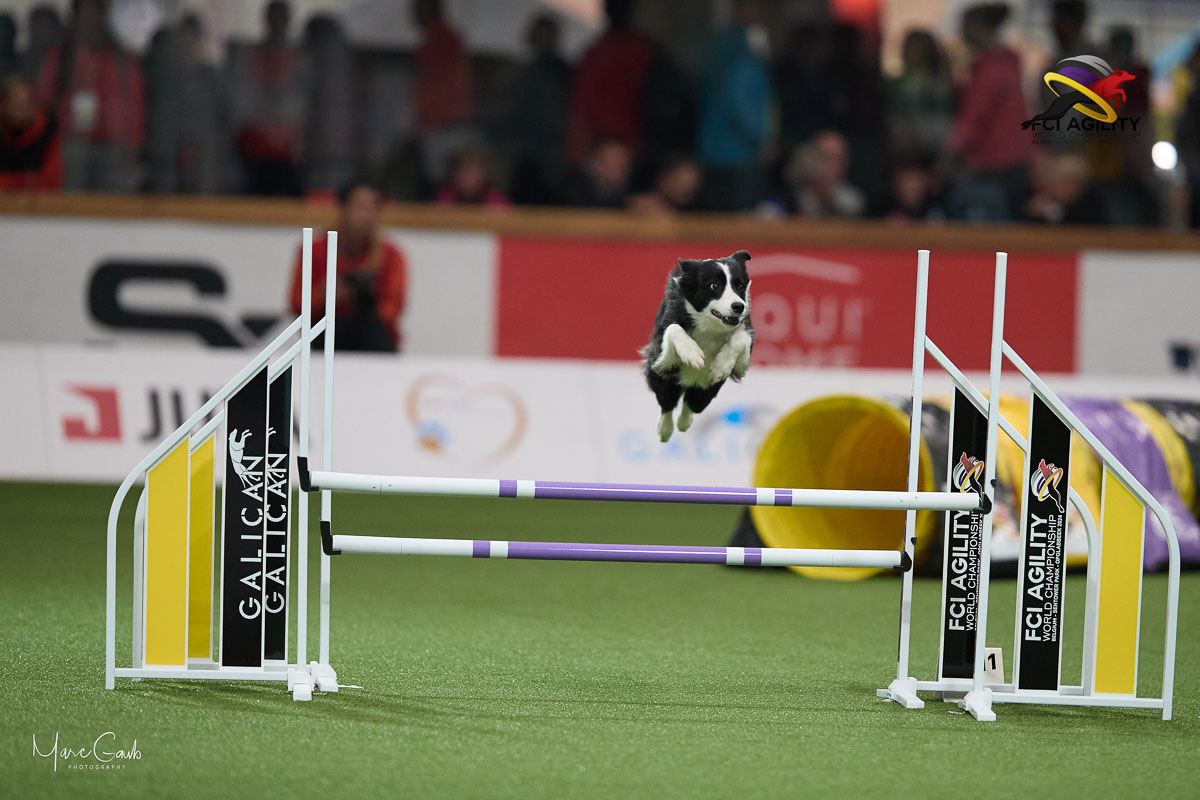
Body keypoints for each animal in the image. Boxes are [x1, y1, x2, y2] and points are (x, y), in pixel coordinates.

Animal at [641, 251, 754, 442]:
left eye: (739, 286)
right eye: (714, 285)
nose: (739, 306)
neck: (709, 325)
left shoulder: (742, 358)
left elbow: (742, 337)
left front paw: (720, 367)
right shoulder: (660, 354)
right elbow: (673, 328)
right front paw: (692, 354)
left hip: (707, 391)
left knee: (691, 403)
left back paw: (684, 423)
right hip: (665, 380)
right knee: (667, 404)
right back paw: (665, 430)